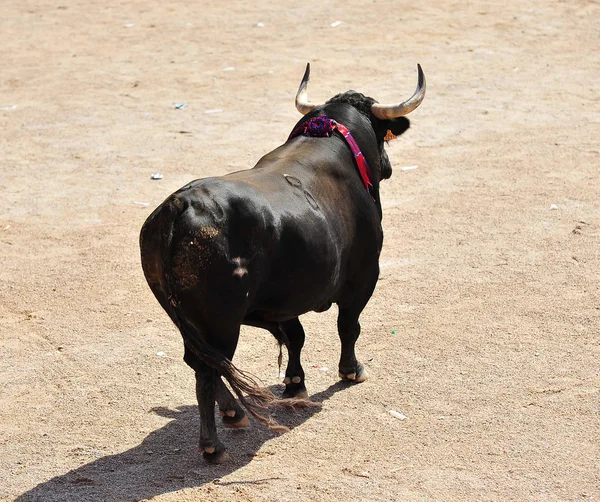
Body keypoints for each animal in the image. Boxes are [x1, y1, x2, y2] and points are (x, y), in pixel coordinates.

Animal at [139, 64, 424, 464]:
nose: (388, 167)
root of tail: (180, 205)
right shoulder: (364, 276)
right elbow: (347, 326)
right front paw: (351, 371)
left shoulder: (285, 297)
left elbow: (295, 336)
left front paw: (295, 384)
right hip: (222, 321)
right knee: (209, 369)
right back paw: (214, 445)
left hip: (189, 320)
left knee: (202, 361)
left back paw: (234, 412)